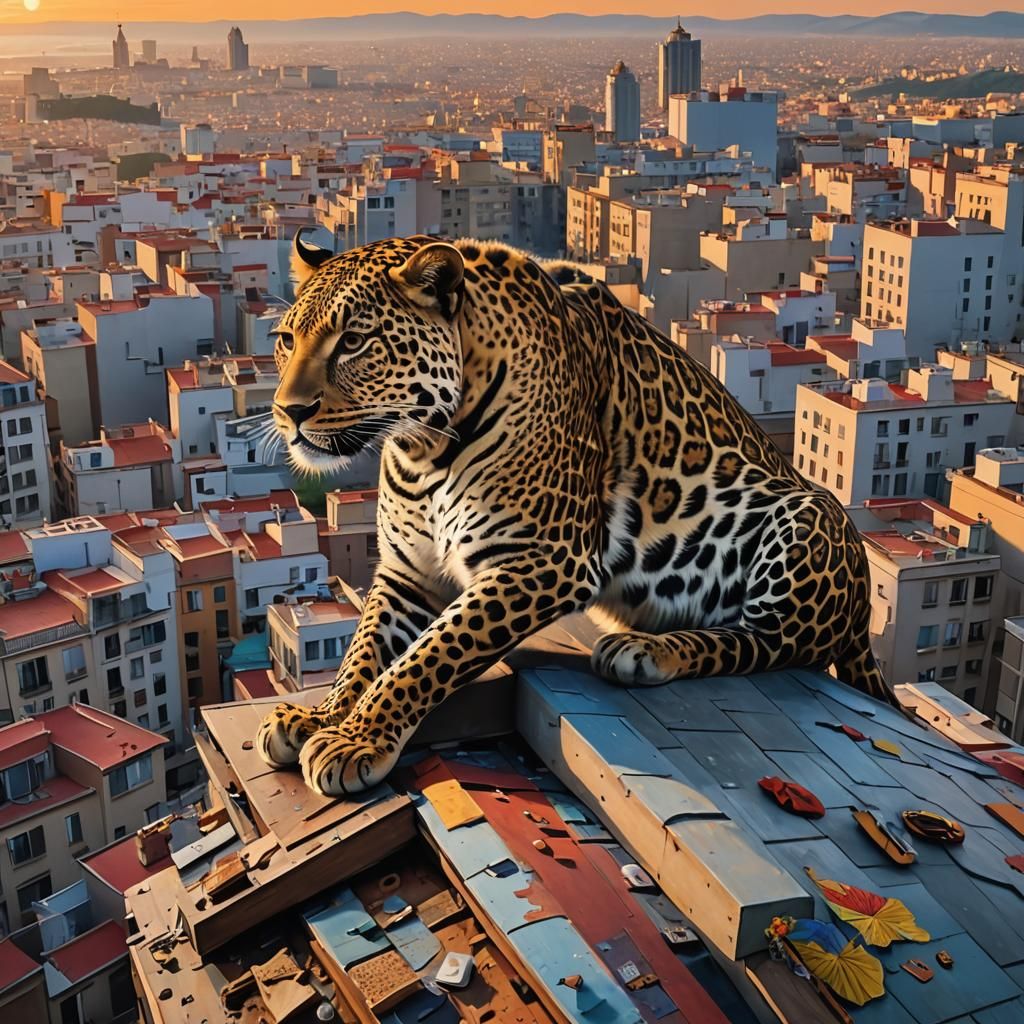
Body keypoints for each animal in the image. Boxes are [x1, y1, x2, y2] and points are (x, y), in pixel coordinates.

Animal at [256, 231, 893, 796]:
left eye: (354, 342)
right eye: (286, 339)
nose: (288, 410)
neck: (424, 445)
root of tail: (862, 612)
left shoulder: (543, 561)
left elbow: (430, 655)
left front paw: (356, 740)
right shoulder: (408, 574)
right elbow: (365, 653)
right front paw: (321, 716)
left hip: (807, 519)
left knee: (771, 644)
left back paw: (649, 651)